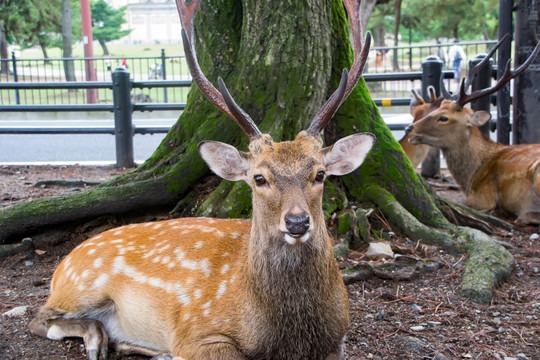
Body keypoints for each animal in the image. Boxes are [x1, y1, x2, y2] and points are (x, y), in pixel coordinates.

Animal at [29, 0, 376, 360]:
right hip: (82, 284)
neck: (291, 337)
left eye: (320, 174)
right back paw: (98, 339)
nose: (297, 222)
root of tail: (62, 264)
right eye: (259, 178)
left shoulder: (339, 335)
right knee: (40, 317)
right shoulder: (195, 330)